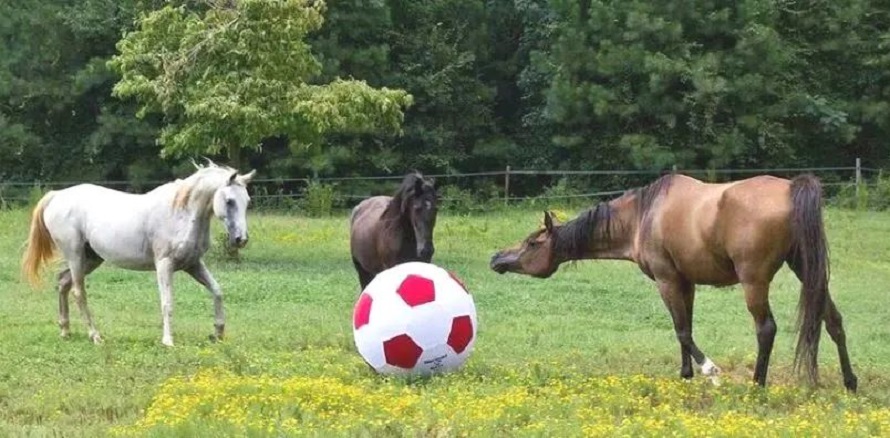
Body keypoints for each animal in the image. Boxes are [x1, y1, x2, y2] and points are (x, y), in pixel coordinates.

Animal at [20, 159, 255, 348]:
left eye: (247, 201)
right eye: (229, 201)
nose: (240, 239)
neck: (181, 213)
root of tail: (55, 196)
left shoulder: (193, 264)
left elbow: (217, 291)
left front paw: (218, 333)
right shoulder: (164, 265)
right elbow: (167, 303)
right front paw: (168, 341)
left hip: (91, 259)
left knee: (62, 282)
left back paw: (65, 330)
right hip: (76, 255)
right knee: (79, 292)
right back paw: (95, 336)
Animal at [490, 173, 856, 392]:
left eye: (532, 243)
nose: (496, 259)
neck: (642, 215)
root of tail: (792, 188)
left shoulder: (666, 280)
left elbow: (682, 331)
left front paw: (709, 370)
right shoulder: (686, 282)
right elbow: (686, 328)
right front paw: (686, 375)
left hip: (754, 282)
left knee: (766, 329)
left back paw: (757, 385)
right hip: (808, 273)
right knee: (834, 322)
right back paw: (850, 382)